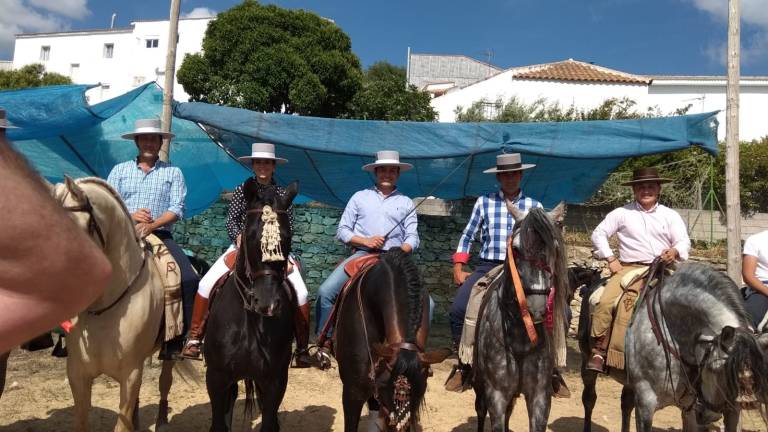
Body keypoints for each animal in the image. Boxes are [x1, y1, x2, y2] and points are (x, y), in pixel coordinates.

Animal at [202, 181, 298, 430]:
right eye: (251, 234)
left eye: (288, 236)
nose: (267, 303)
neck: (250, 322)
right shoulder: (216, 378)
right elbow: (219, 424)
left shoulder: (275, 381)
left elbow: (269, 423)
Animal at [472, 203, 568, 432]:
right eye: (515, 249)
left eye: (555, 249)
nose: (537, 309)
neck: (520, 338)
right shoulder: (496, 394)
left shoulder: (540, 396)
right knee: (480, 410)